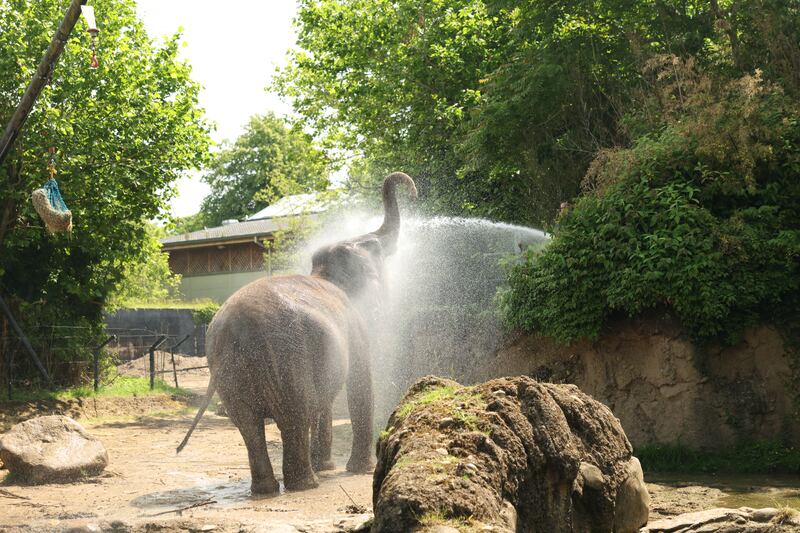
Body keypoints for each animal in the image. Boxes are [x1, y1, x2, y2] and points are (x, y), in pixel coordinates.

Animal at [177, 172, 417, 494]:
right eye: (377, 250)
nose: (414, 192)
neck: (325, 272)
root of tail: (234, 334)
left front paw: (327, 466)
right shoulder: (354, 327)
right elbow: (358, 383)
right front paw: (358, 470)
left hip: (230, 376)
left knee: (249, 425)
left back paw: (267, 489)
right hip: (288, 362)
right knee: (294, 416)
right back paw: (305, 485)